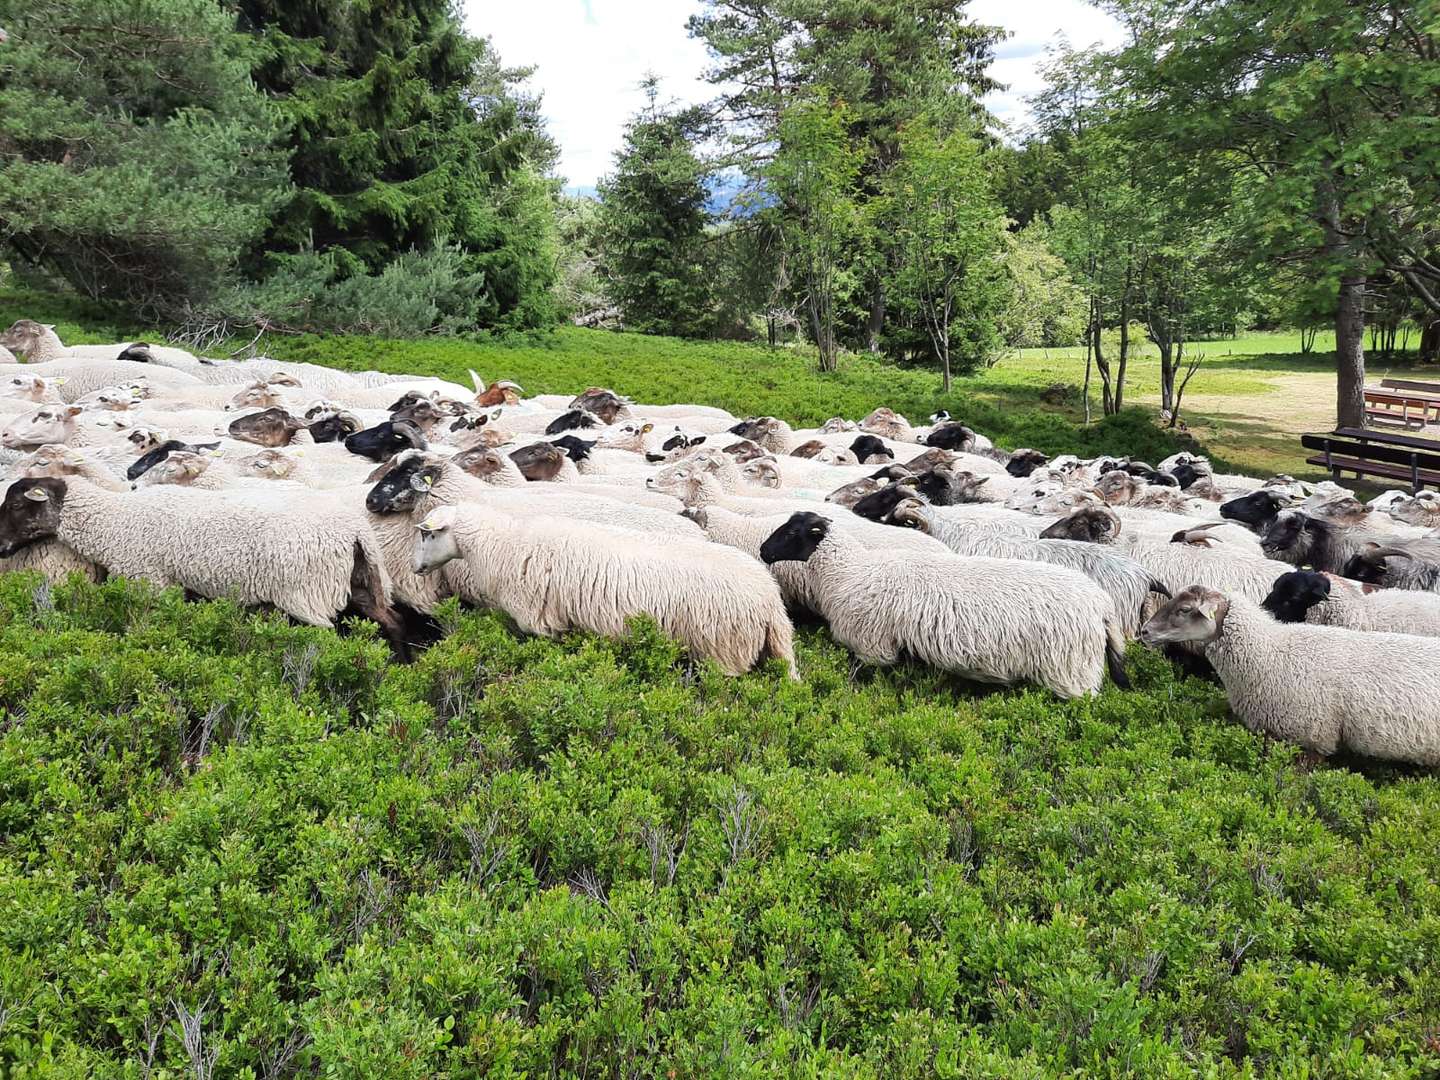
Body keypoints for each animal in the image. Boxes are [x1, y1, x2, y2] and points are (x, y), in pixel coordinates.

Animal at [414, 504, 800, 679]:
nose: (415, 567)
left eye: (427, 534)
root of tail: (770, 599)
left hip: (723, 652)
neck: (501, 545)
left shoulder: (540, 624)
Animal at [760, 512, 1128, 696]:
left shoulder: (872, 645)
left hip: (1070, 670)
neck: (849, 570)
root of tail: (1102, 606)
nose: (763, 551)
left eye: (792, 533)